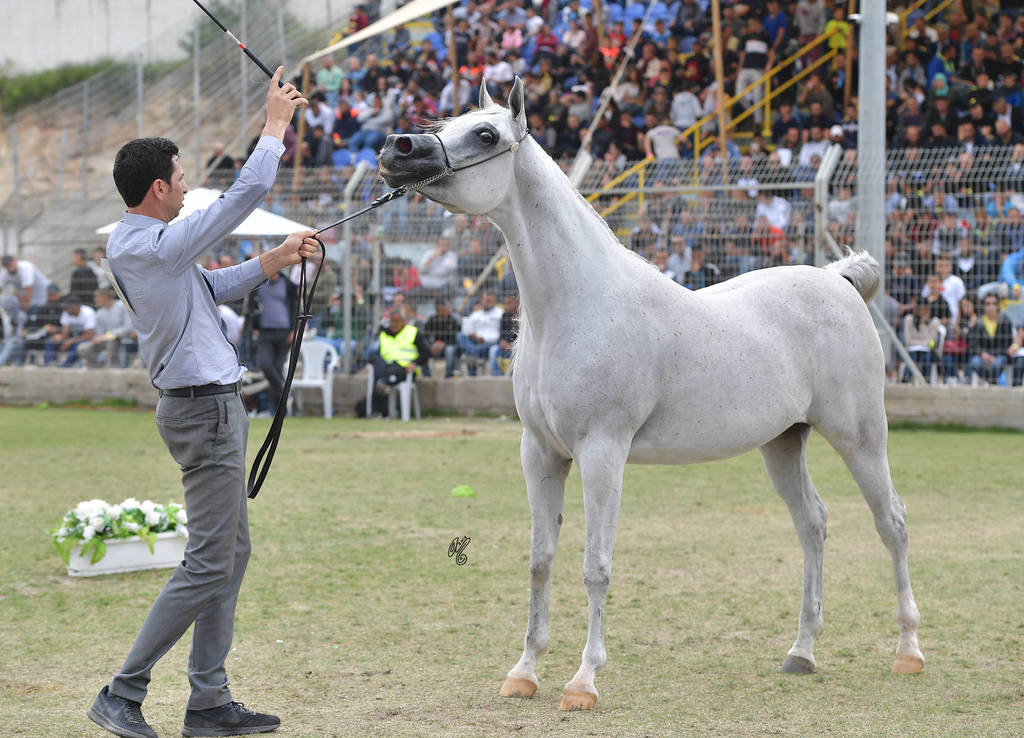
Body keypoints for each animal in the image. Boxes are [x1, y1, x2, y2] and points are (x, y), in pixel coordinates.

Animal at [378, 78, 924, 711]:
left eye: (487, 134)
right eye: (447, 123)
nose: (396, 148)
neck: (577, 304)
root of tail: (839, 280)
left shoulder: (602, 451)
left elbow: (595, 566)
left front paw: (583, 682)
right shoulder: (540, 453)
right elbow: (541, 561)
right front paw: (524, 672)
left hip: (859, 435)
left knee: (893, 523)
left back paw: (908, 652)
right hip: (785, 442)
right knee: (813, 524)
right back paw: (801, 652)